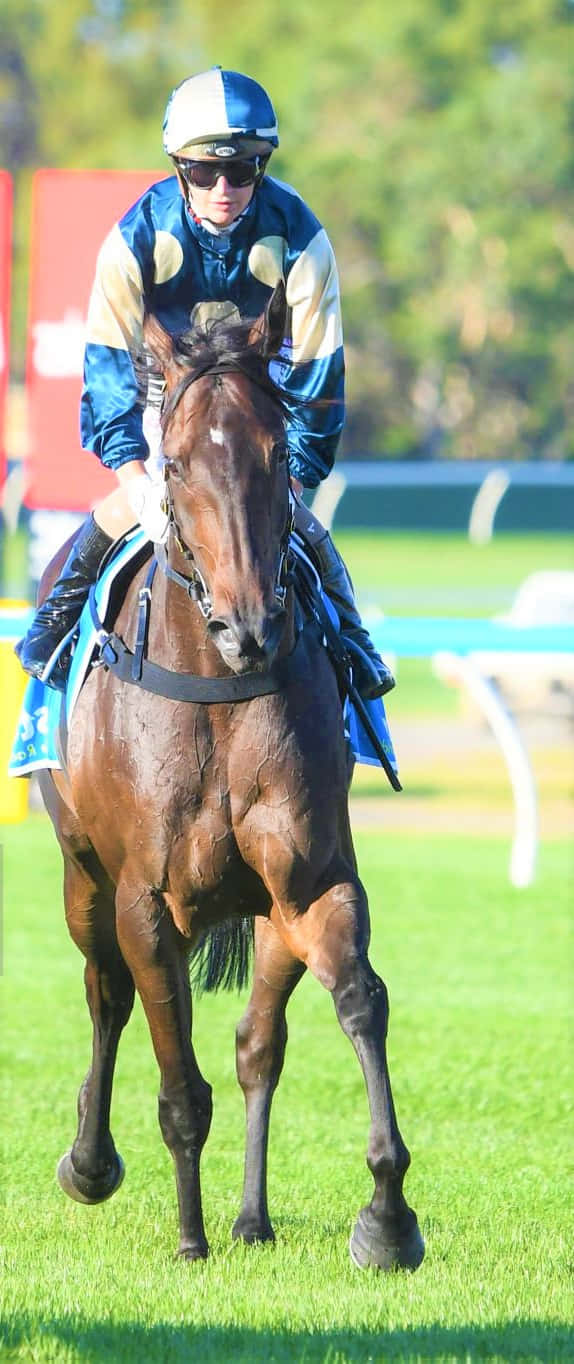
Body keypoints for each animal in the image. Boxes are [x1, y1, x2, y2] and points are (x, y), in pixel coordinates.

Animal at [38, 282, 424, 1271]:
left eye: (276, 455)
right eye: (173, 465)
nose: (252, 628)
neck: (218, 688)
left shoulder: (312, 881)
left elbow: (359, 1001)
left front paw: (388, 1215)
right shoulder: (142, 899)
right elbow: (178, 1079)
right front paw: (188, 1237)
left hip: (269, 917)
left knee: (259, 1044)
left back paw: (251, 1218)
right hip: (83, 878)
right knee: (105, 997)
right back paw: (92, 1164)